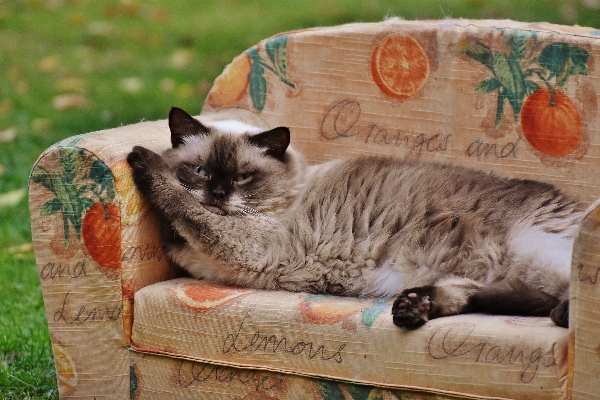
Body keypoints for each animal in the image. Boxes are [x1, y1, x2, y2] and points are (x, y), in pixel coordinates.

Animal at [126, 106, 580, 328]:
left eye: (242, 177)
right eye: (201, 171)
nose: (218, 195)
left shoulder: (249, 247)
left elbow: (183, 205)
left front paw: (142, 160)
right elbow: (184, 218)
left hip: (533, 252)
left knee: (551, 296)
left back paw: (563, 316)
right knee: (491, 293)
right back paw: (413, 309)